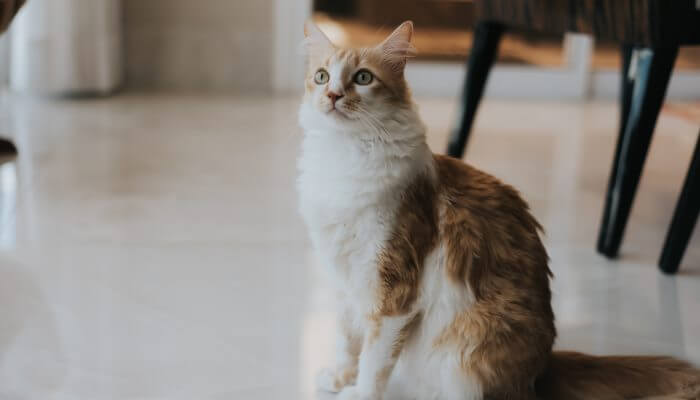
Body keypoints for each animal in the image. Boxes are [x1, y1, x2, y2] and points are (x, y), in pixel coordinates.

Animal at [296, 21, 700, 400]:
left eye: (363, 78)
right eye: (322, 77)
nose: (332, 95)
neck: (343, 155)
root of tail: (542, 370)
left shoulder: (394, 290)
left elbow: (374, 359)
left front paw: (359, 392)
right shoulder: (346, 279)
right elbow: (348, 338)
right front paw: (340, 376)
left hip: (468, 350)